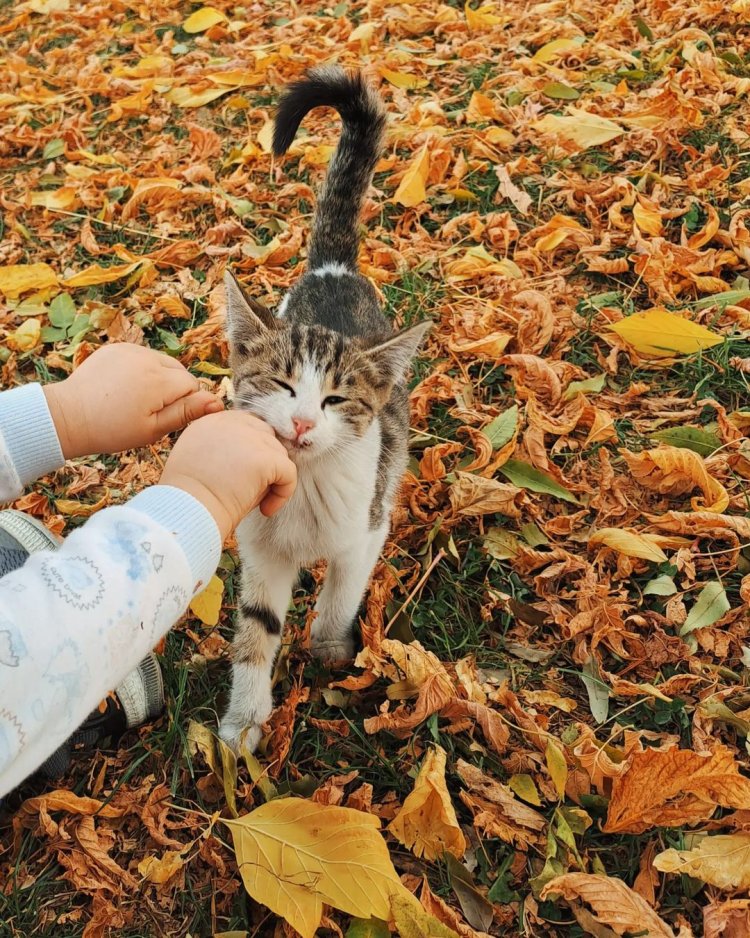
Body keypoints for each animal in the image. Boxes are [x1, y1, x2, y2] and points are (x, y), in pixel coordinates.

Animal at [219, 66, 428, 752]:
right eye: (282, 386)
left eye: (335, 398)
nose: (305, 422)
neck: (304, 487)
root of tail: (333, 268)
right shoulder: (259, 548)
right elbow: (257, 624)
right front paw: (243, 723)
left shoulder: (365, 525)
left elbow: (343, 586)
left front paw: (331, 645)